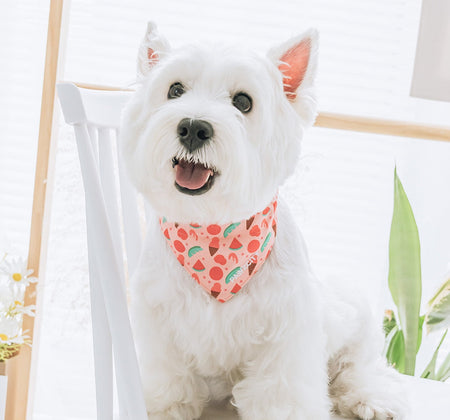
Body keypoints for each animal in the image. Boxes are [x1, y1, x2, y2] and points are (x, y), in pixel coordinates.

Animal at [120, 23, 408, 420]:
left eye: (243, 102)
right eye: (175, 90)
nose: (193, 128)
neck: (213, 230)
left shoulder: (287, 332)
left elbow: (280, 395)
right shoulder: (159, 320)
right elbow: (169, 381)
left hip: (354, 316)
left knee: (360, 366)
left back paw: (374, 398)